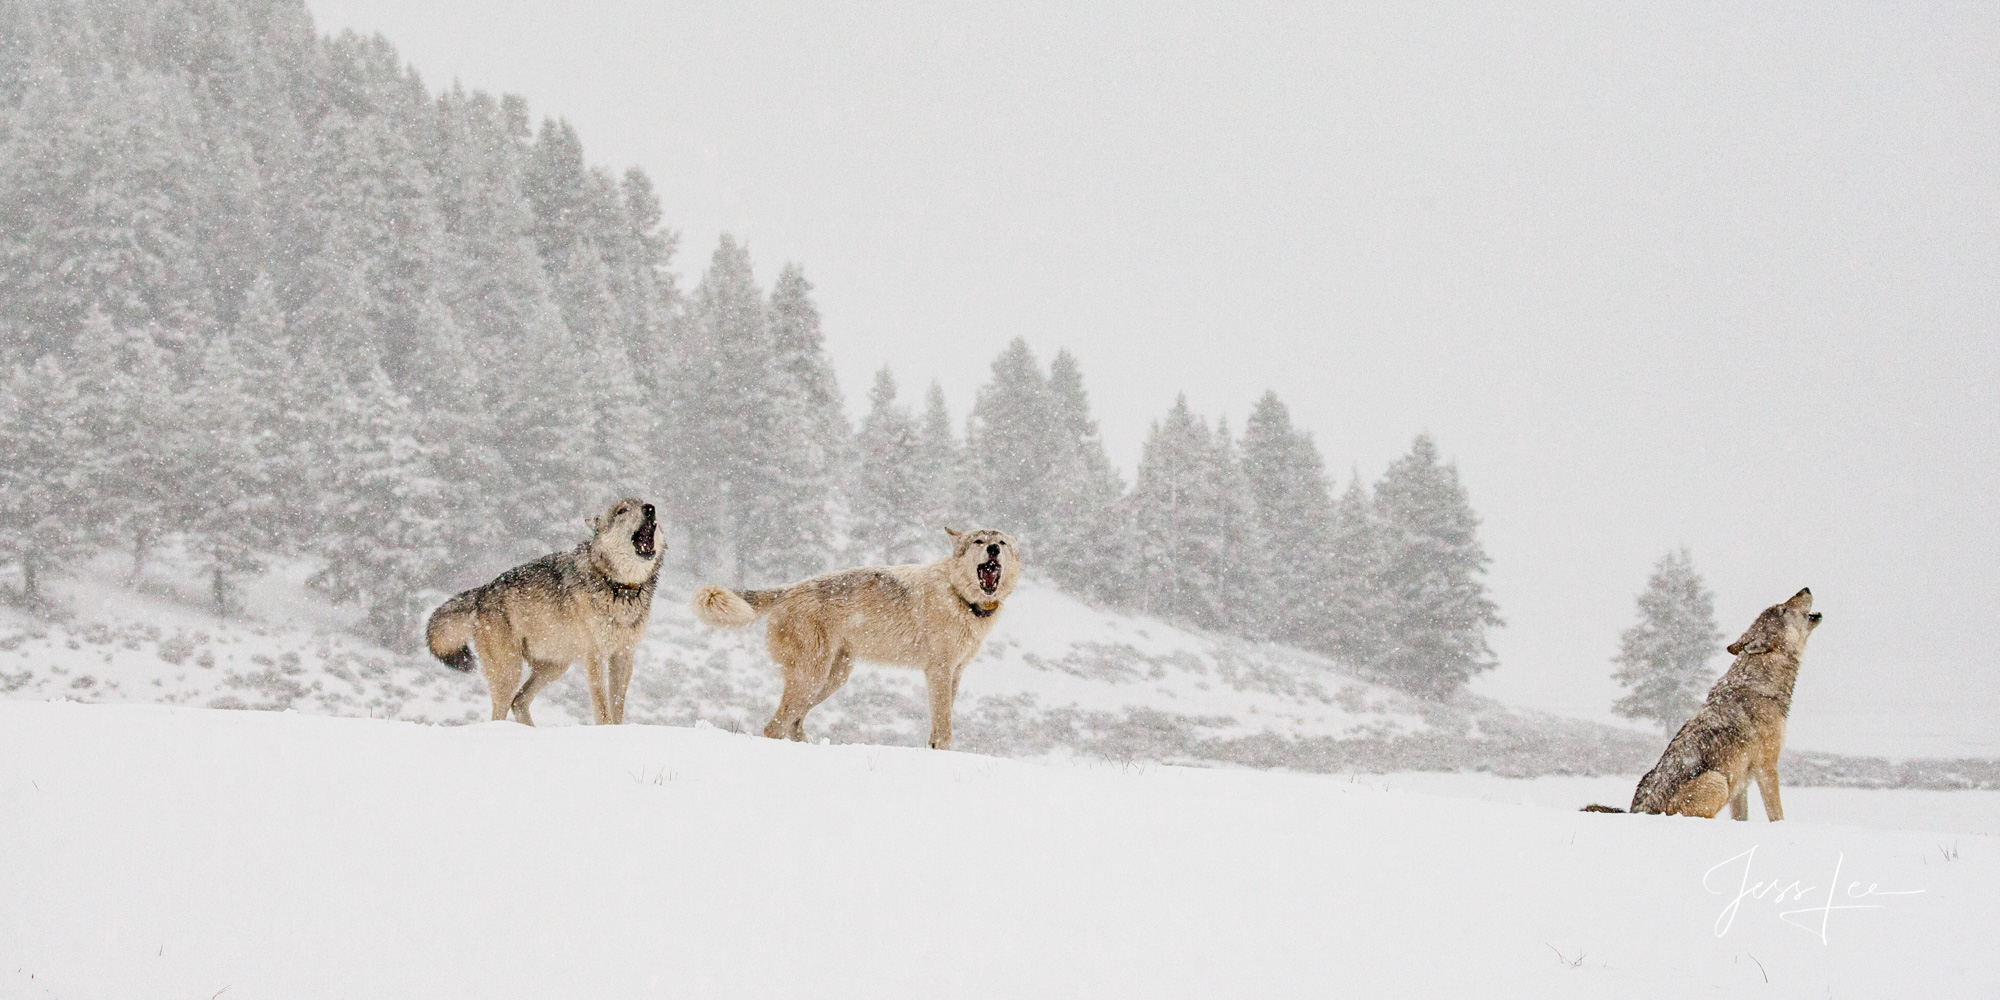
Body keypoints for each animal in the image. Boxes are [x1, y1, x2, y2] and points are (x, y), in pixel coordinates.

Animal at [424, 500, 664, 728]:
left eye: (643, 502)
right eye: (622, 510)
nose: (650, 508)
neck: (620, 589)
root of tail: (482, 592)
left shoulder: (623, 655)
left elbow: (617, 706)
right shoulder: (594, 656)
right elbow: (602, 707)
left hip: (555, 667)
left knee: (518, 701)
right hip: (510, 672)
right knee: (500, 711)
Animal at [692, 532, 1032, 752]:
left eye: (1001, 542)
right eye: (978, 541)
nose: (992, 549)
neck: (958, 596)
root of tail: (789, 588)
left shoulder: (956, 672)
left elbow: (942, 722)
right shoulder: (938, 670)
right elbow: (944, 726)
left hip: (833, 679)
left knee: (793, 723)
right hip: (813, 677)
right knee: (774, 726)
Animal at [1584, 584, 1824, 820]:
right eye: (1782, 609)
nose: (1805, 588)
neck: (1760, 683)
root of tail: (1637, 812)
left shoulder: (1741, 783)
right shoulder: (1767, 767)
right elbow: (1777, 815)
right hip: (1718, 781)